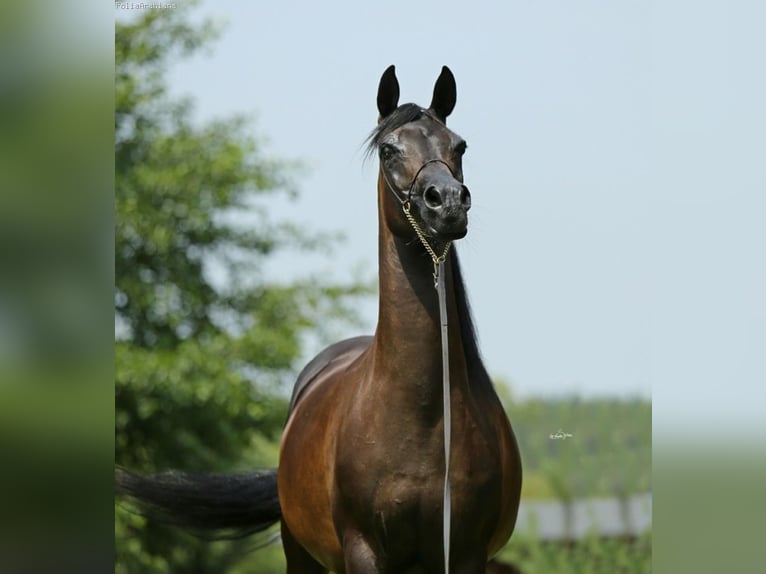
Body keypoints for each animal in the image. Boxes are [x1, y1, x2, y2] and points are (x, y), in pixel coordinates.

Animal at [117, 66, 524, 574]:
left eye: (460, 145)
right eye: (389, 149)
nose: (446, 203)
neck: (424, 417)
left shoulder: (466, 553)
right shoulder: (364, 551)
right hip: (302, 554)